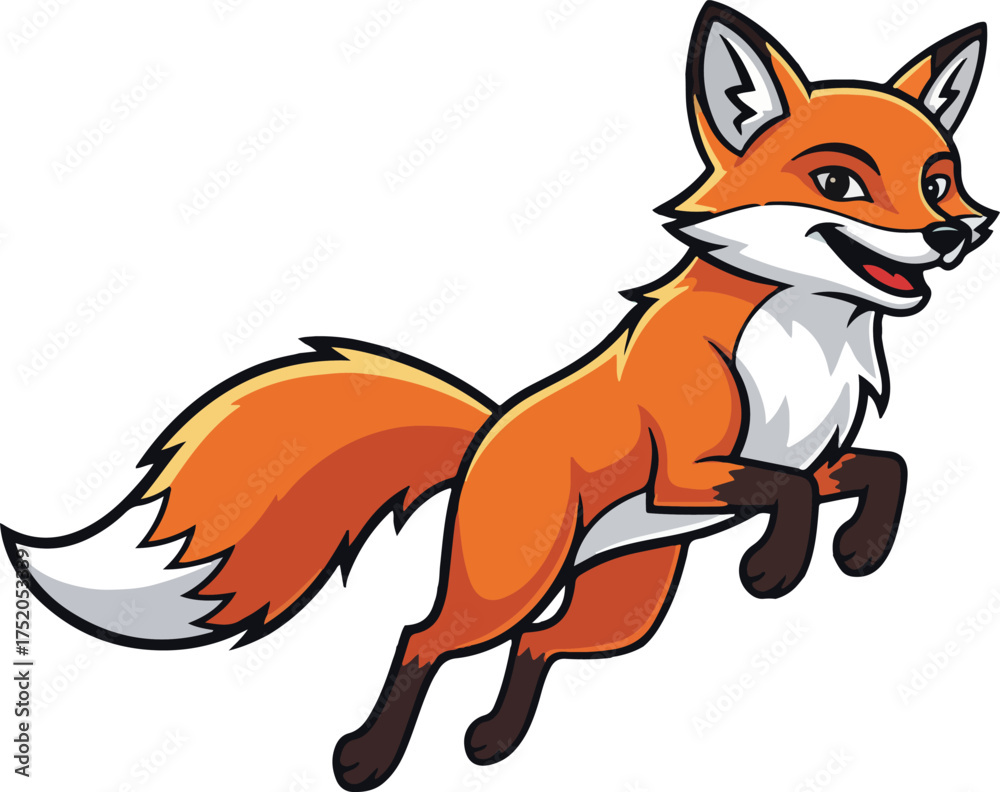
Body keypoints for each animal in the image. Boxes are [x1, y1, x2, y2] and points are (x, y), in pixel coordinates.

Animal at [3, 3, 995, 790]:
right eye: (839, 182)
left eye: (939, 179)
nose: (965, 229)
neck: (801, 342)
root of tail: (488, 431)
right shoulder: (692, 471)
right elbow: (784, 492)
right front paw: (776, 567)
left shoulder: (813, 460)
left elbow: (883, 468)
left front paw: (858, 550)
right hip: (511, 585)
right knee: (424, 637)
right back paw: (367, 758)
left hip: (622, 607)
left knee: (540, 643)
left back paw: (491, 742)